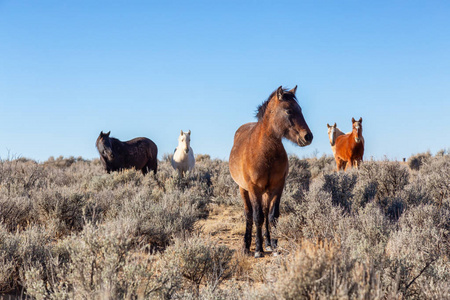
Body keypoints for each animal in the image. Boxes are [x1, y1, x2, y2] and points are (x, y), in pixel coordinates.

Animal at [229, 85, 312, 258]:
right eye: (288, 110)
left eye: (300, 109)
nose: (308, 136)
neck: (265, 151)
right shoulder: (254, 189)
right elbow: (257, 217)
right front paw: (258, 249)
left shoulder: (277, 187)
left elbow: (272, 216)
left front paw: (274, 245)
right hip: (243, 189)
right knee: (249, 215)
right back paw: (246, 245)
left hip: (266, 192)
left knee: (266, 212)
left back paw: (267, 242)